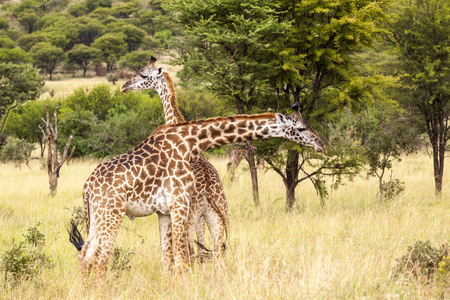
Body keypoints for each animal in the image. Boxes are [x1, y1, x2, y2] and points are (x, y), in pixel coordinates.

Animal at [68, 99, 326, 298]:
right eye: (301, 128)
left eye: (309, 125)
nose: (322, 146)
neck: (191, 141)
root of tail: (87, 187)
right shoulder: (180, 202)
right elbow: (183, 256)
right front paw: (184, 291)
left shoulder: (164, 211)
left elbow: (168, 257)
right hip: (112, 212)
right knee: (101, 257)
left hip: (98, 215)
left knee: (85, 254)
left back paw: (84, 293)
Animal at [119, 56, 229, 262]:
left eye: (143, 74)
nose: (124, 86)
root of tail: (209, 188)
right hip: (219, 216)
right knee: (216, 253)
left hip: (191, 216)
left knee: (191, 252)